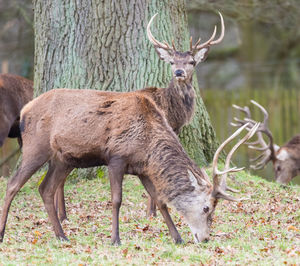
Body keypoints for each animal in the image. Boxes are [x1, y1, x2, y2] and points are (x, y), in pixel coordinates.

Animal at [0, 88, 258, 244]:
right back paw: (3, 234)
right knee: (12, 185)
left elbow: (160, 201)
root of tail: (24, 111)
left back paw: (62, 236)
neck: (147, 144)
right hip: (36, 147)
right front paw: (115, 239)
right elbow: (117, 200)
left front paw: (177, 237)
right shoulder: (116, 158)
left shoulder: (142, 169)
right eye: (206, 208)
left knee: (45, 189)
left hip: (64, 159)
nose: (204, 238)